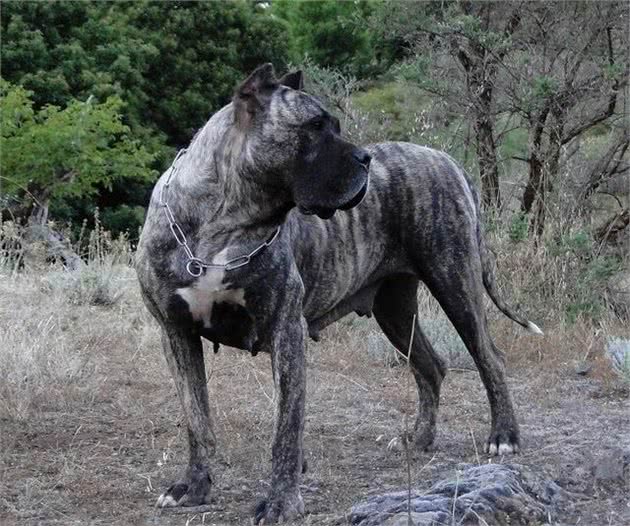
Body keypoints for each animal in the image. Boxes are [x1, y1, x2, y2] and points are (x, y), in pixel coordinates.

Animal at [137, 65, 544, 524]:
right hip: (394, 310)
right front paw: (193, 486)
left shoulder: (286, 330)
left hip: (455, 282)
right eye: (314, 128)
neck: (224, 226)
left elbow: (286, 428)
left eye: (335, 126)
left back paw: (503, 436)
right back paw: (419, 437)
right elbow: (197, 418)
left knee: (488, 357)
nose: (365, 158)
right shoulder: (177, 334)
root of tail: (446, 159)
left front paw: (280, 501)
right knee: (431, 366)